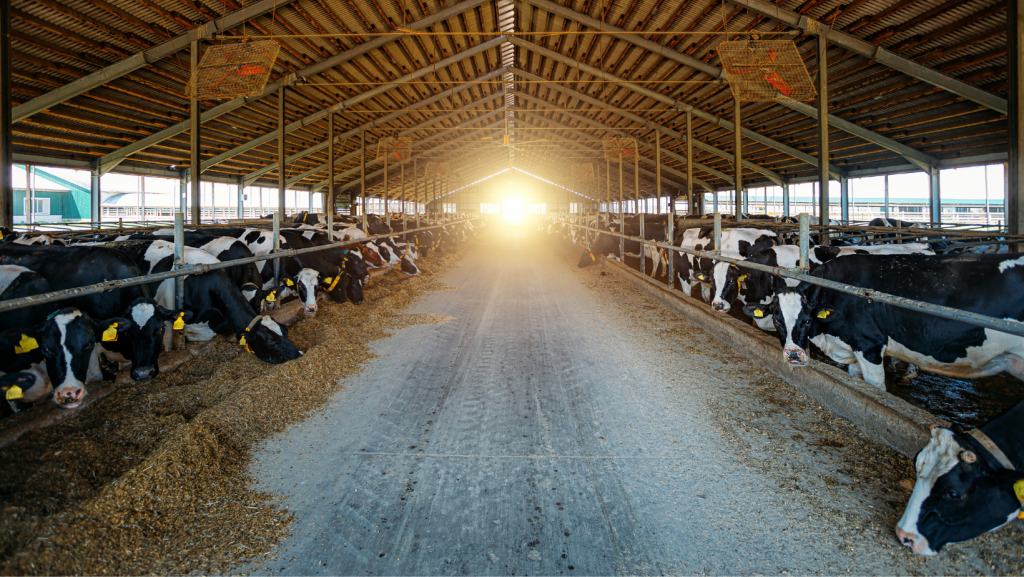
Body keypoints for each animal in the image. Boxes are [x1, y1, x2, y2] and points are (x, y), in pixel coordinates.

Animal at [745, 255, 1024, 391]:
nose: (793, 356)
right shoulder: (854, 350)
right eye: (778, 320)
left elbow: (877, 387)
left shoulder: (869, 344)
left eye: (805, 321)